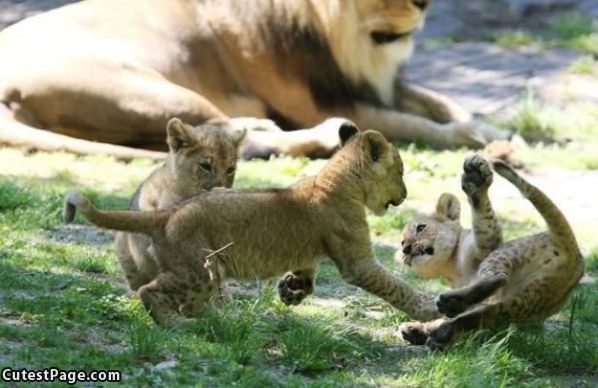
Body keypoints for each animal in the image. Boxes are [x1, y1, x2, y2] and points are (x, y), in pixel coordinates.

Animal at [0, 0, 510, 158]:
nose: (423, 3)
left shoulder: (369, 83)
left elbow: (440, 101)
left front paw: (494, 129)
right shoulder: (323, 99)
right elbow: (417, 124)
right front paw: (483, 141)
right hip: (145, 88)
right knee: (231, 135)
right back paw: (331, 136)